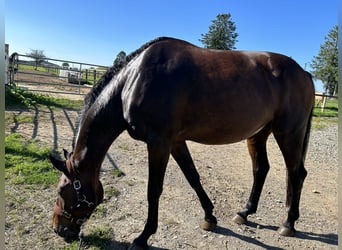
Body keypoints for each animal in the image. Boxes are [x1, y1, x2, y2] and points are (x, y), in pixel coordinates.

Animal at [49, 36, 314, 248]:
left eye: (63, 190)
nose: (58, 229)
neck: (134, 80)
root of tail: (304, 73)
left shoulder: (159, 143)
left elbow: (154, 190)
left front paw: (143, 236)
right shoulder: (175, 142)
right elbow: (193, 177)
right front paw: (209, 217)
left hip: (288, 132)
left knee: (296, 172)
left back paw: (288, 223)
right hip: (258, 134)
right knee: (261, 169)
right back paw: (245, 212)